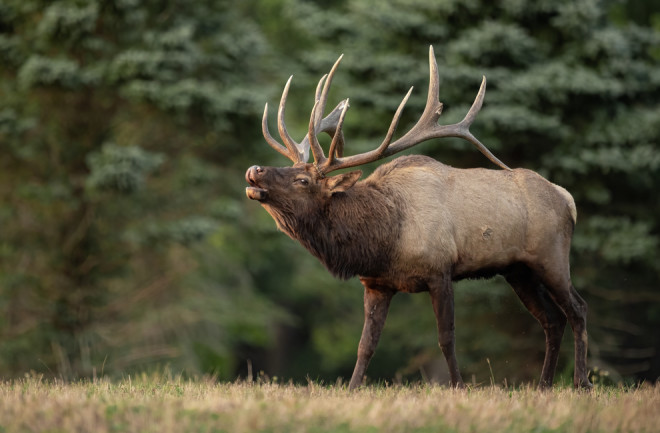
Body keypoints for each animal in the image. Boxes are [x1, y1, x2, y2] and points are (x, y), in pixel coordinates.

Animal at [244, 46, 592, 388]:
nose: (254, 170)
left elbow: (446, 338)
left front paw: (458, 386)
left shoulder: (440, 270)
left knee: (577, 308)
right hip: (518, 271)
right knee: (552, 320)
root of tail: (567, 198)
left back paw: (581, 382)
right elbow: (365, 345)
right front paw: (353, 388)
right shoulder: (376, 284)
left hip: (551, 257)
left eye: (303, 180)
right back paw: (544, 384)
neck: (385, 238)